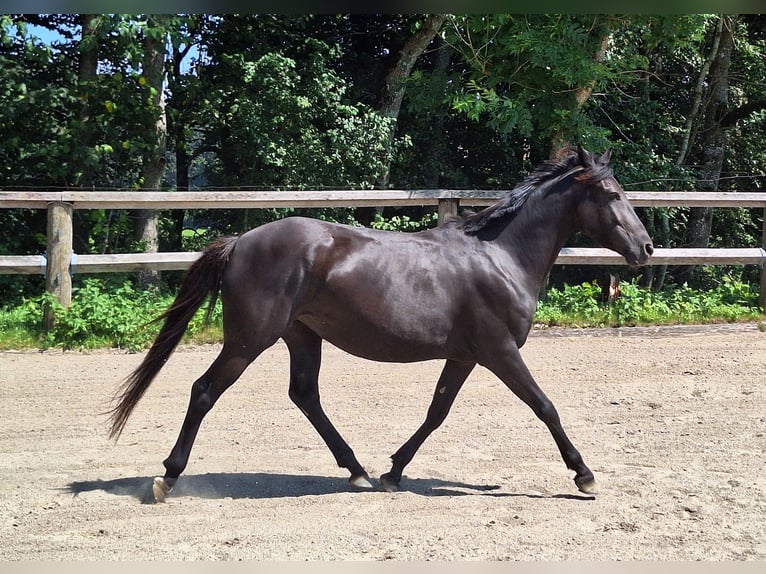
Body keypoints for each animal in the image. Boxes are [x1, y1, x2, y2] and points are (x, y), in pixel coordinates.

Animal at [111, 145, 656, 504]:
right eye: (611, 193)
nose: (646, 248)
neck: (500, 257)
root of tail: (242, 240)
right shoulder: (500, 351)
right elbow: (545, 407)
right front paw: (584, 475)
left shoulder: (465, 356)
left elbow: (437, 412)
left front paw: (394, 471)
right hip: (249, 340)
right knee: (205, 391)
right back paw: (167, 478)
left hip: (302, 335)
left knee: (304, 395)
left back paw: (357, 472)